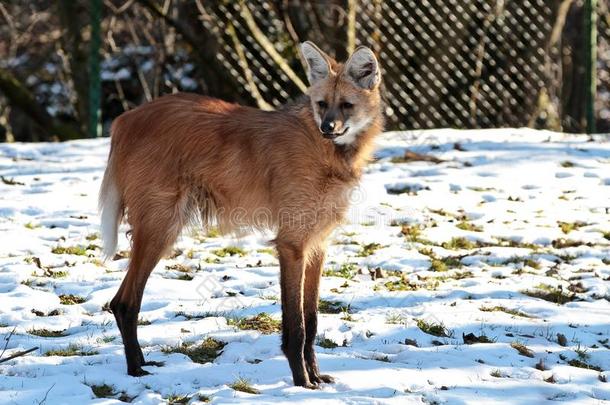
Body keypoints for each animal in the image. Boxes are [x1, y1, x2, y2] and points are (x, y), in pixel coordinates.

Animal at [99, 41, 382, 388]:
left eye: (346, 105)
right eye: (322, 104)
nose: (327, 127)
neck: (328, 154)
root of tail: (124, 119)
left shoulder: (317, 244)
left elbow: (312, 318)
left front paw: (315, 376)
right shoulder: (292, 244)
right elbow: (297, 325)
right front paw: (301, 382)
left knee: (124, 300)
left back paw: (142, 363)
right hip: (160, 227)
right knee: (124, 302)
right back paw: (135, 371)